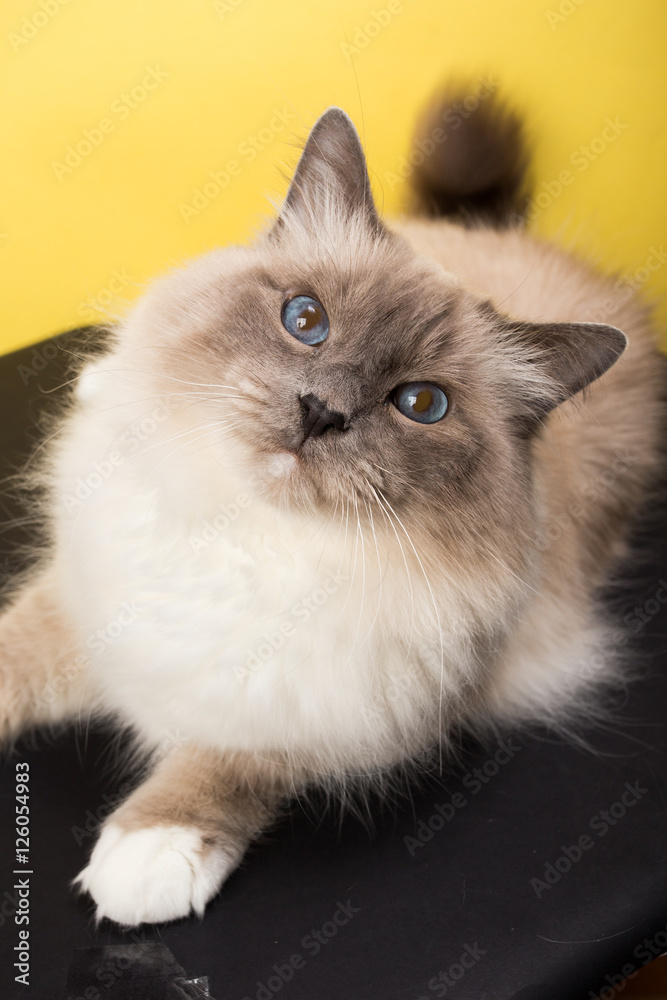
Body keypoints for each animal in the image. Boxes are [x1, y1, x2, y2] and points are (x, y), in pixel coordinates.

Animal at [0, 90, 664, 924]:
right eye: (305, 320)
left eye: (421, 404)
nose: (321, 412)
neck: (250, 539)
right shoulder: (80, 600)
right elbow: (11, 658)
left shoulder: (333, 714)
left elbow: (225, 766)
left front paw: (148, 853)